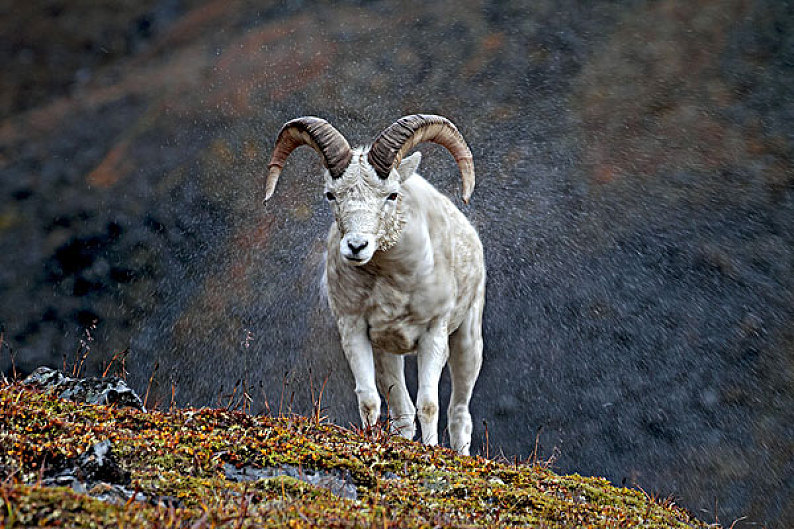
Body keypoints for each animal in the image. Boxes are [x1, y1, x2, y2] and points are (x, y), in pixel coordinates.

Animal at [266, 113, 482, 452]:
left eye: (391, 195)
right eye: (331, 195)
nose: (356, 247)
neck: (395, 283)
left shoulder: (434, 334)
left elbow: (429, 404)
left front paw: (429, 451)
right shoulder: (355, 330)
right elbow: (369, 400)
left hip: (467, 340)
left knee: (459, 414)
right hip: (388, 354)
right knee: (402, 411)